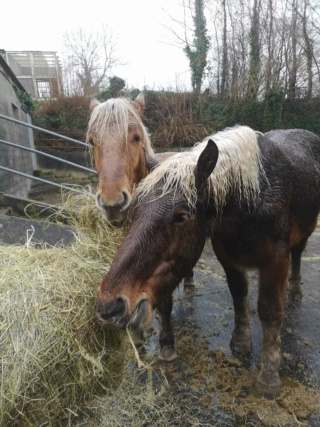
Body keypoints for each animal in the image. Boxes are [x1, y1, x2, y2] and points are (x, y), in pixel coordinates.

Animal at [96, 125, 320, 400]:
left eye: (181, 216)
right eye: (136, 208)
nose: (110, 303)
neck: (252, 199)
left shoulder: (275, 261)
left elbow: (270, 311)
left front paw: (268, 377)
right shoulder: (229, 258)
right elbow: (238, 296)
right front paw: (241, 342)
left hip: (305, 232)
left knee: (298, 255)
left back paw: (295, 290)